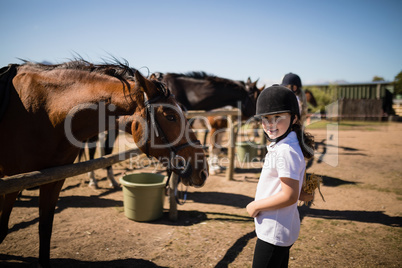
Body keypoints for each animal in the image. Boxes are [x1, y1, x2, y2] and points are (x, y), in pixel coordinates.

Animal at [0, 59, 207, 266]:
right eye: (170, 116)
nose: (202, 170)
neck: (45, 113)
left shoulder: (53, 179)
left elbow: (45, 228)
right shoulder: (11, 180)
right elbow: (4, 228)